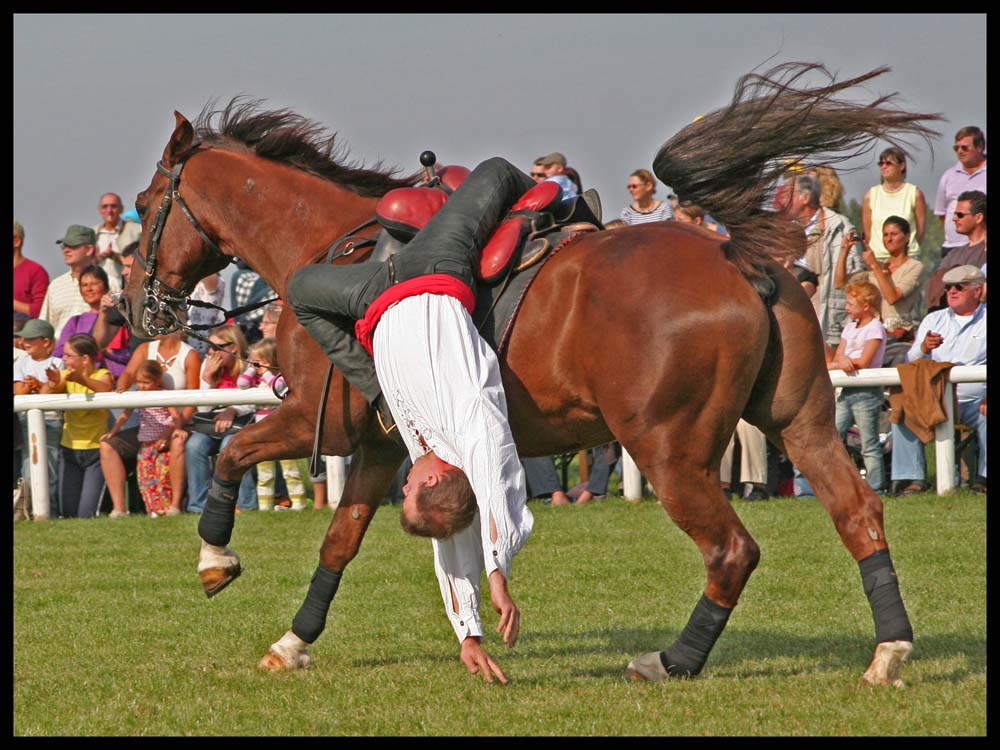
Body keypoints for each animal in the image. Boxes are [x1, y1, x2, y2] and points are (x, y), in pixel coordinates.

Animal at [121, 63, 940, 688]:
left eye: (144, 205)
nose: (135, 306)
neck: (325, 240)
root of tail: (734, 256)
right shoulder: (385, 447)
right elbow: (339, 543)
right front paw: (294, 640)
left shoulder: (323, 426)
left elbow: (232, 452)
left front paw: (216, 559)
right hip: (801, 423)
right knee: (858, 514)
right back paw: (889, 651)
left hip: (669, 452)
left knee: (731, 551)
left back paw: (673, 660)